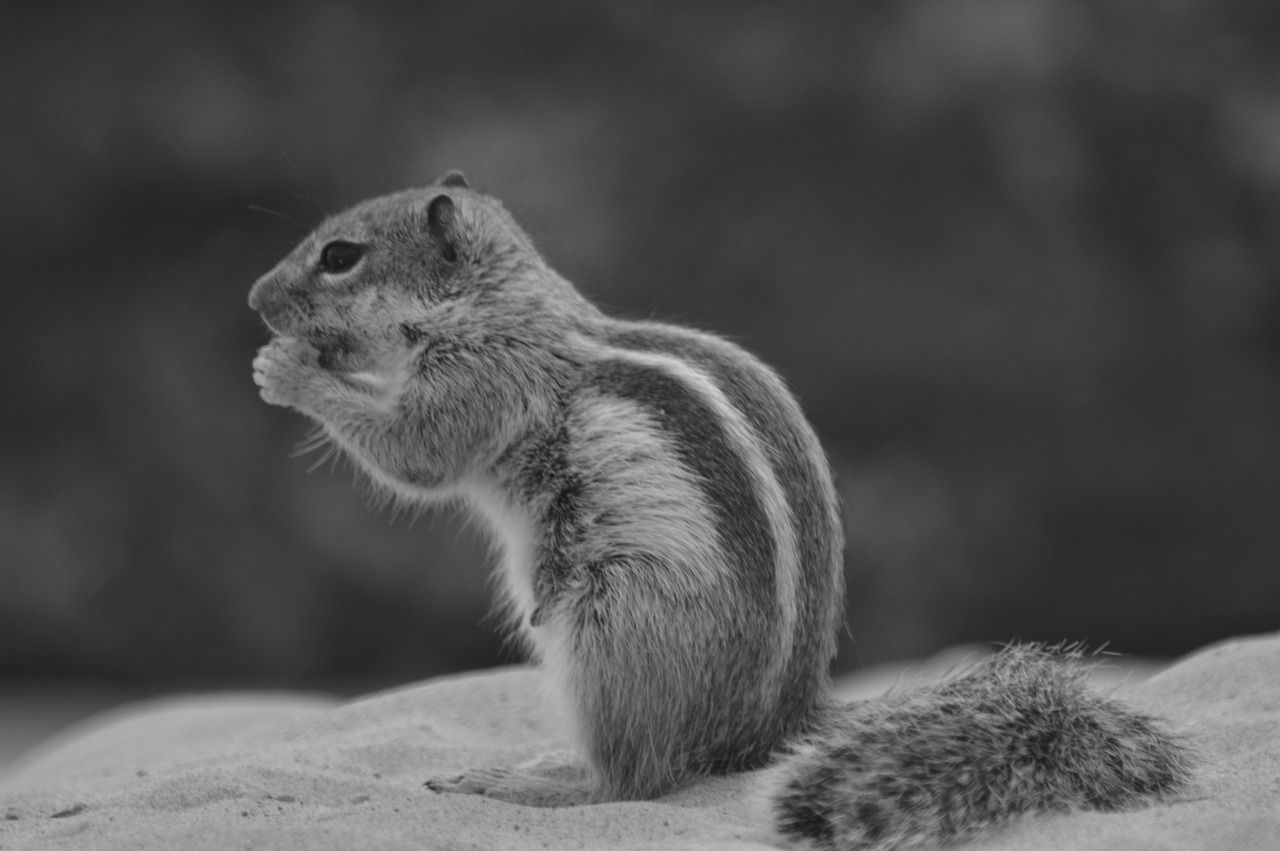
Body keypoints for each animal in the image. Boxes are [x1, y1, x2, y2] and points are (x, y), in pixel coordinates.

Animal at [247, 174, 1187, 849]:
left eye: (340, 255)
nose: (255, 300)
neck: (500, 301)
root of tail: (773, 728)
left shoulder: (485, 379)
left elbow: (419, 452)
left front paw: (286, 369)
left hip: (614, 622)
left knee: (637, 780)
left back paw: (537, 782)